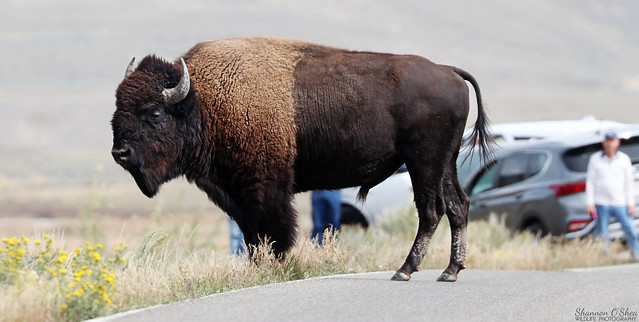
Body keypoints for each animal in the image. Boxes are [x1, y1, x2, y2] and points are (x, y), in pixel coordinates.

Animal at [111, 36, 490, 280]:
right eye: (117, 109)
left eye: (154, 113)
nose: (120, 152)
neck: (203, 101)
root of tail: (449, 71)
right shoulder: (235, 194)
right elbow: (251, 235)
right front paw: (258, 267)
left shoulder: (265, 188)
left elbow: (272, 230)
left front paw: (274, 266)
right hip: (446, 163)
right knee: (458, 206)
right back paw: (450, 271)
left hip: (423, 161)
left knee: (431, 210)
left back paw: (405, 270)